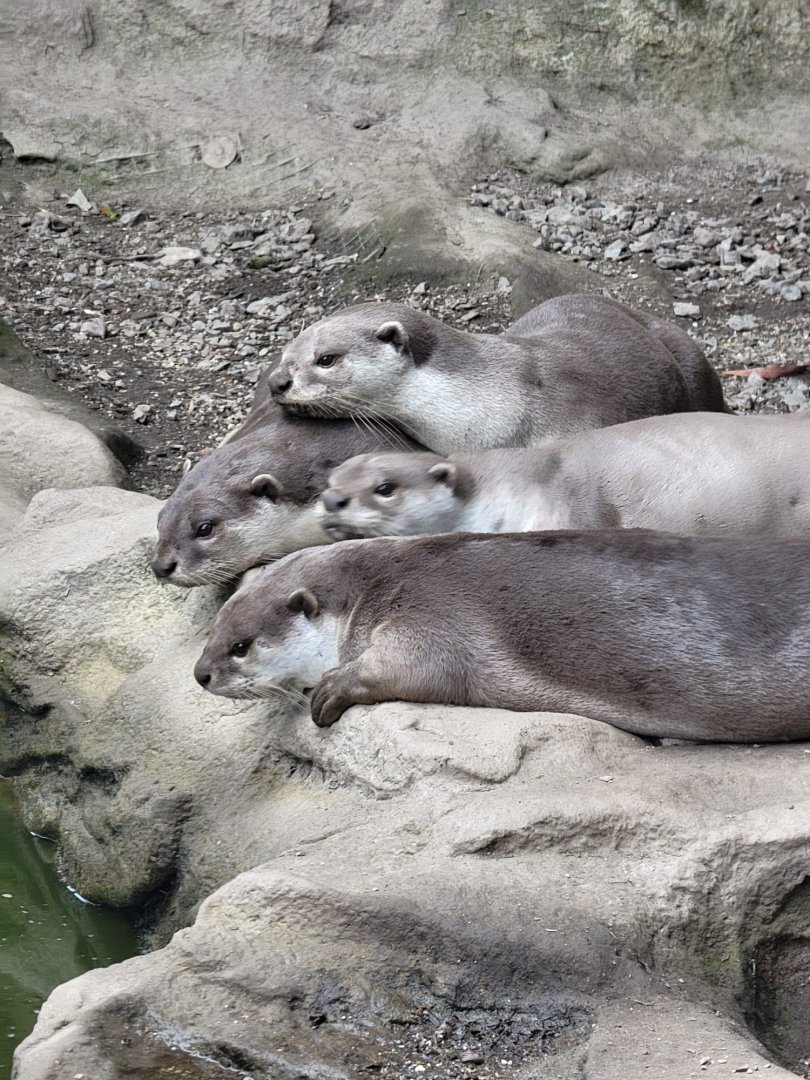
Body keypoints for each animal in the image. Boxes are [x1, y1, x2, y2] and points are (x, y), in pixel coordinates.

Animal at [193, 530, 810, 740]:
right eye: (213, 630)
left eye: (240, 646)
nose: (200, 674)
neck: (378, 582)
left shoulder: (431, 615)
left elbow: (412, 667)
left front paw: (329, 688)